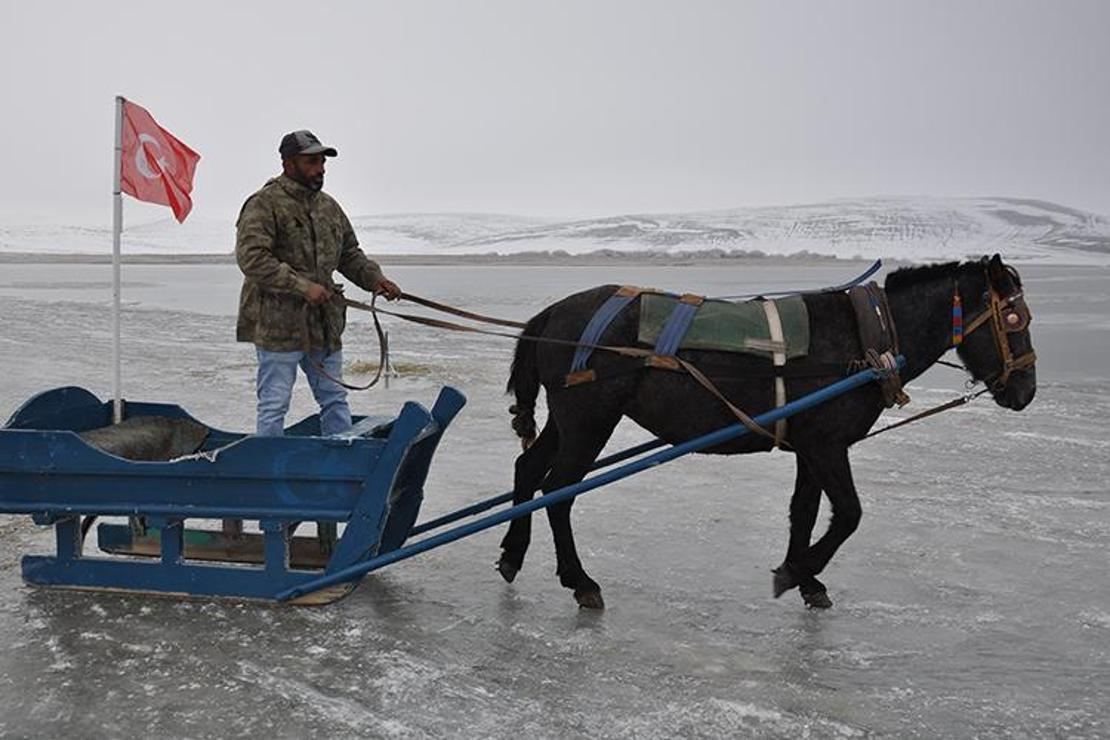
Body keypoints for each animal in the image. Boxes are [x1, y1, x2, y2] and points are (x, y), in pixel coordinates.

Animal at [499, 255, 1034, 607]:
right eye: (1013, 318)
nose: (1025, 390)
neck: (867, 338)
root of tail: (549, 315)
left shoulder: (811, 447)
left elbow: (804, 513)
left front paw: (806, 579)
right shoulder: (827, 444)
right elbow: (849, 515)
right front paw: (797, 572)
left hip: (568, 419)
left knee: (527, 468)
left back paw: (512, 553)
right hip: (590, 420)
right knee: (558, 491)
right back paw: (579, 580)